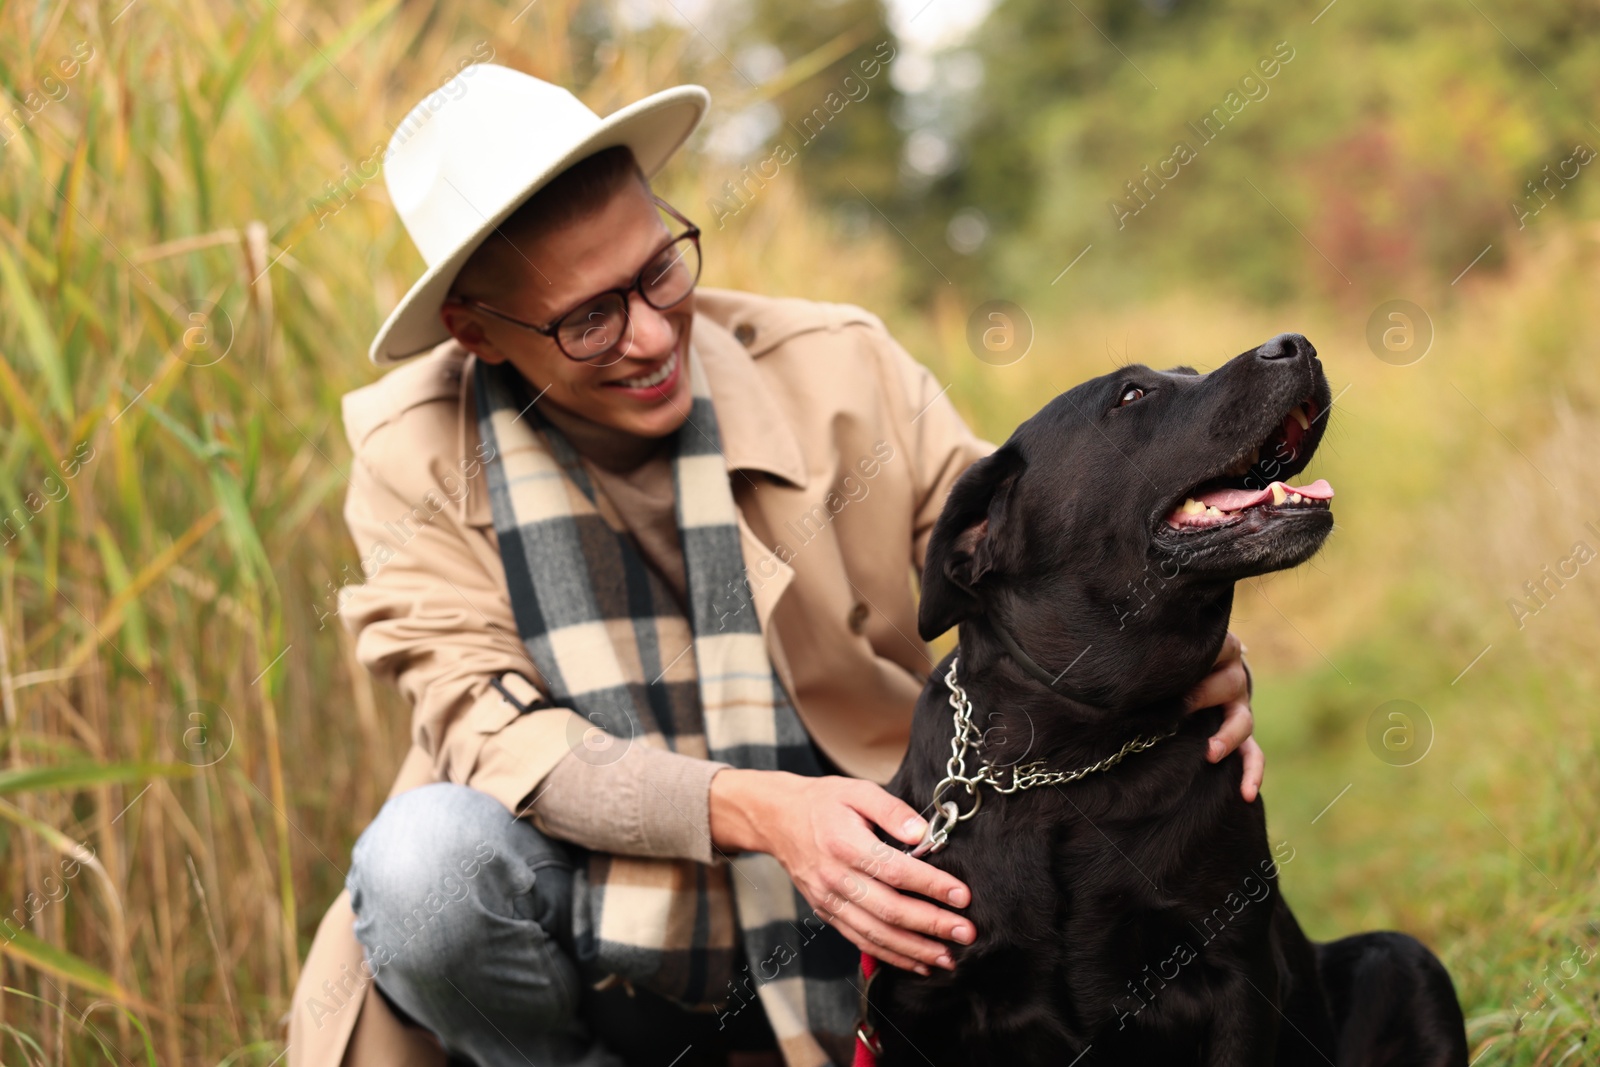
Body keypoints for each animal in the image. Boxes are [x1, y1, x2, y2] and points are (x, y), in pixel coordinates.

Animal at [870, 337, 1465, 1067]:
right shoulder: (916, 1003)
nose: (1296, 344)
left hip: (1403, 960)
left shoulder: (1236, 972)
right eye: (1131, 395)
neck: (1076, 753)